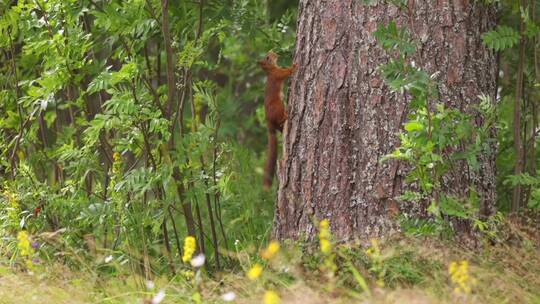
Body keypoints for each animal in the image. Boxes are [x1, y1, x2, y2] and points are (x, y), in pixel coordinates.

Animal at [258, 51, 296, 190]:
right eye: (268, 57)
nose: (274, 52)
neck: (270, 70)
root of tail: (268, 122)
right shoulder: (278, 74)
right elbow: (285, 73)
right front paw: (294, 66)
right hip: (278, 106)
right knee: (280, 119)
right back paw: (286, 116)